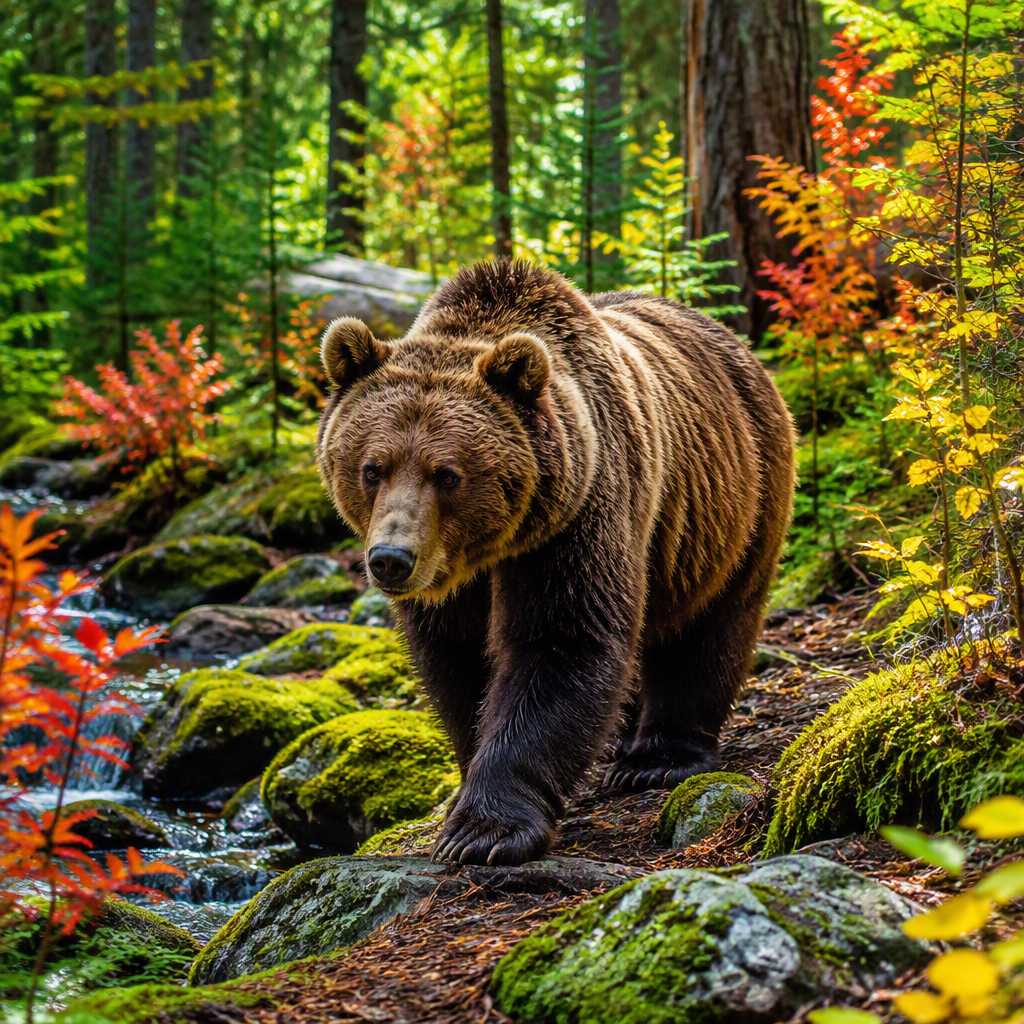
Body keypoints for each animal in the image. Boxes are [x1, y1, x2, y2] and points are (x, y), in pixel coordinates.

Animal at [316, 259, 795, 866]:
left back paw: (657, 758)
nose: (391, 560)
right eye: (372, 468)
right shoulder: (453, 586)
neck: (487, 550)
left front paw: (484, 831)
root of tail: (736, 344)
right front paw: (466, 789)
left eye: (446, 474)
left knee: (710, 626)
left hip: (733, 506)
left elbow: (562, 640)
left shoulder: (577, 517)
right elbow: (457, 664)